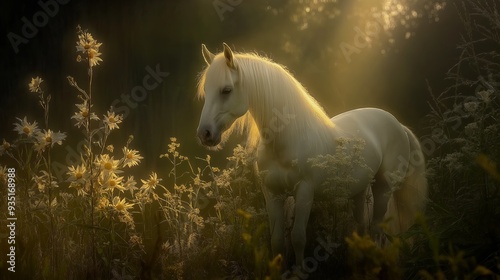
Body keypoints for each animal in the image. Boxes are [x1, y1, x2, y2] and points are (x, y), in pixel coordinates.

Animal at [194, 42, 426, 270]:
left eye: (226, 90)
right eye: (206, 90)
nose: (205, 134)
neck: (287, 141)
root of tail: (398, 124)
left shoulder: (305, 191)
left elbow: (298, 238)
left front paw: (300, 272)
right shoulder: (272, 194)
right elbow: (277, 240)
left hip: (383, 188)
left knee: (377, 229)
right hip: (359, 191)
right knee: (362, 228)